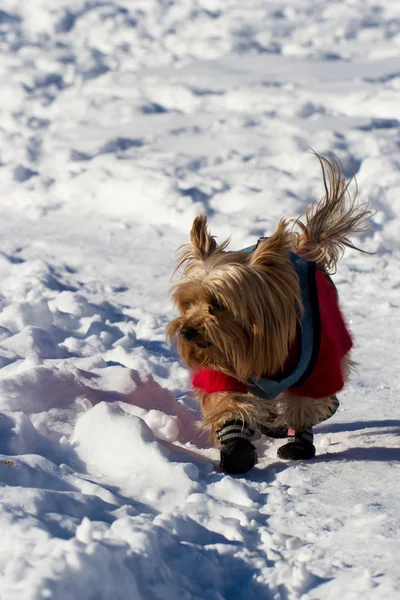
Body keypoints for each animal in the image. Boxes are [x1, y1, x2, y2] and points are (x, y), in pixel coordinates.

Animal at [166, 155, 372, 474]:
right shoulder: (221, 364)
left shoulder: (318, 364)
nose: (187, 331)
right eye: (187, 303)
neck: (250, 343)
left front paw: (299, 443)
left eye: (218, 304)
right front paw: (236, 450)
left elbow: (303, 403)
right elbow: (227, 400)